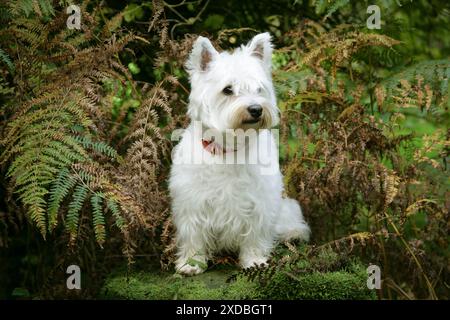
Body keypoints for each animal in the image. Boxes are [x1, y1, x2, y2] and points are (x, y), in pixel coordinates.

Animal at [169, 33, 310, 276]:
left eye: (259, 88)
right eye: (227, 89)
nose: (256, 109)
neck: (228, 147)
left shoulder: (259, 201)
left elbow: (255, 234)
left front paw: (254, 261)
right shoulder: (192, 201)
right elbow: (193, 234)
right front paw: (191, 263)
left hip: (285, 207)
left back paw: (294, 233)